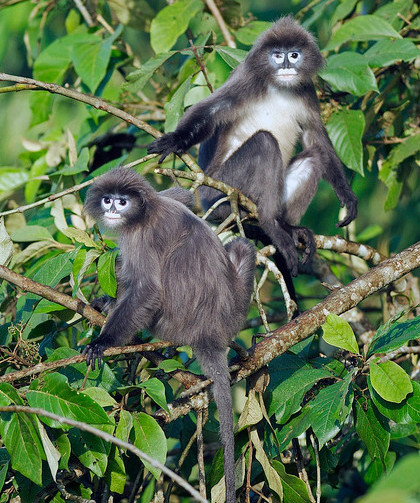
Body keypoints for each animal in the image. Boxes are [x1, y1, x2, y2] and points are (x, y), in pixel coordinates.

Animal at [81, 167, 253, 502]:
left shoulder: (140, 238)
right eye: (108, 199)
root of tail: (211, 334)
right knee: (241, 245)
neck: (144, 213)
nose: (111, 209)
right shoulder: (167, 200)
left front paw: (102, 342)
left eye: (122, 202)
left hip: (168, 323)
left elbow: (148, 290)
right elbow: (185, 196)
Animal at [148, 16, 358, 276]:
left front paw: (346, 194)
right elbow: (210, 111)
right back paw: (271, 225)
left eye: (294, 55)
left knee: (314, 157)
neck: (279, 87)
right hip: (220, 189)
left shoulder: (306, 91)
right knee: (265, 142)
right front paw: (174, 139)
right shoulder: (247, 80)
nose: (286, 66)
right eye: (277, 55)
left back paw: (287, 227)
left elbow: (315, 138)